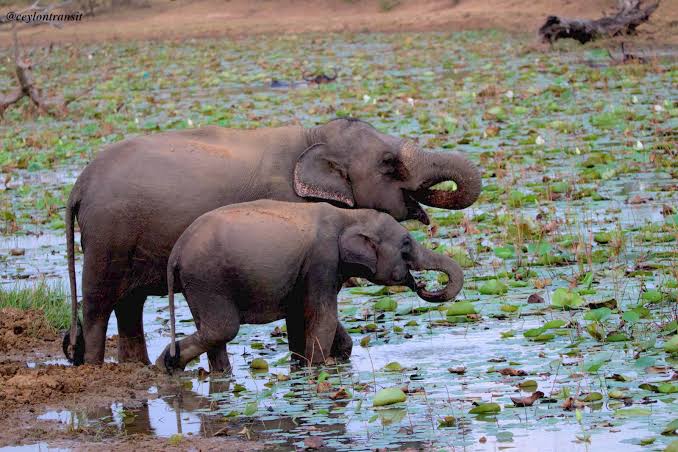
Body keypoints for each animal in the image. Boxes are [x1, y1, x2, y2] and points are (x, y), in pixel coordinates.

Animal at [156, 200, 464, 373]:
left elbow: (301, 316)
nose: (421, 286)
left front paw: (310, 364)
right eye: (406, 245)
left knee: (212, 333)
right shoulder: (322, 261)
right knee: (222, 330)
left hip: (197, 286)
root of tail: (176, 252)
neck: (349, 216)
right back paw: (167, 365)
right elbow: (323, 317)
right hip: (207, 280)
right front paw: (318, 366)